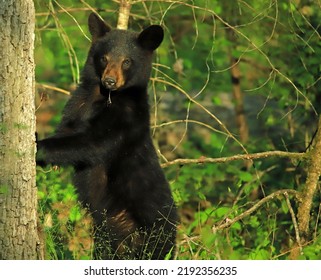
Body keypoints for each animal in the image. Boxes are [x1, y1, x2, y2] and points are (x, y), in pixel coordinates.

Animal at [38, 12, 178, 258]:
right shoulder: (78, 103)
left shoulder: (126, 118)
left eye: (127, 61)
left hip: (152, 237)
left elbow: (93, 143)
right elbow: (67, 128)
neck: (105, 97)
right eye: (104, 58)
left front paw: (39, 147)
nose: (110, 81)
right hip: (108, 237)